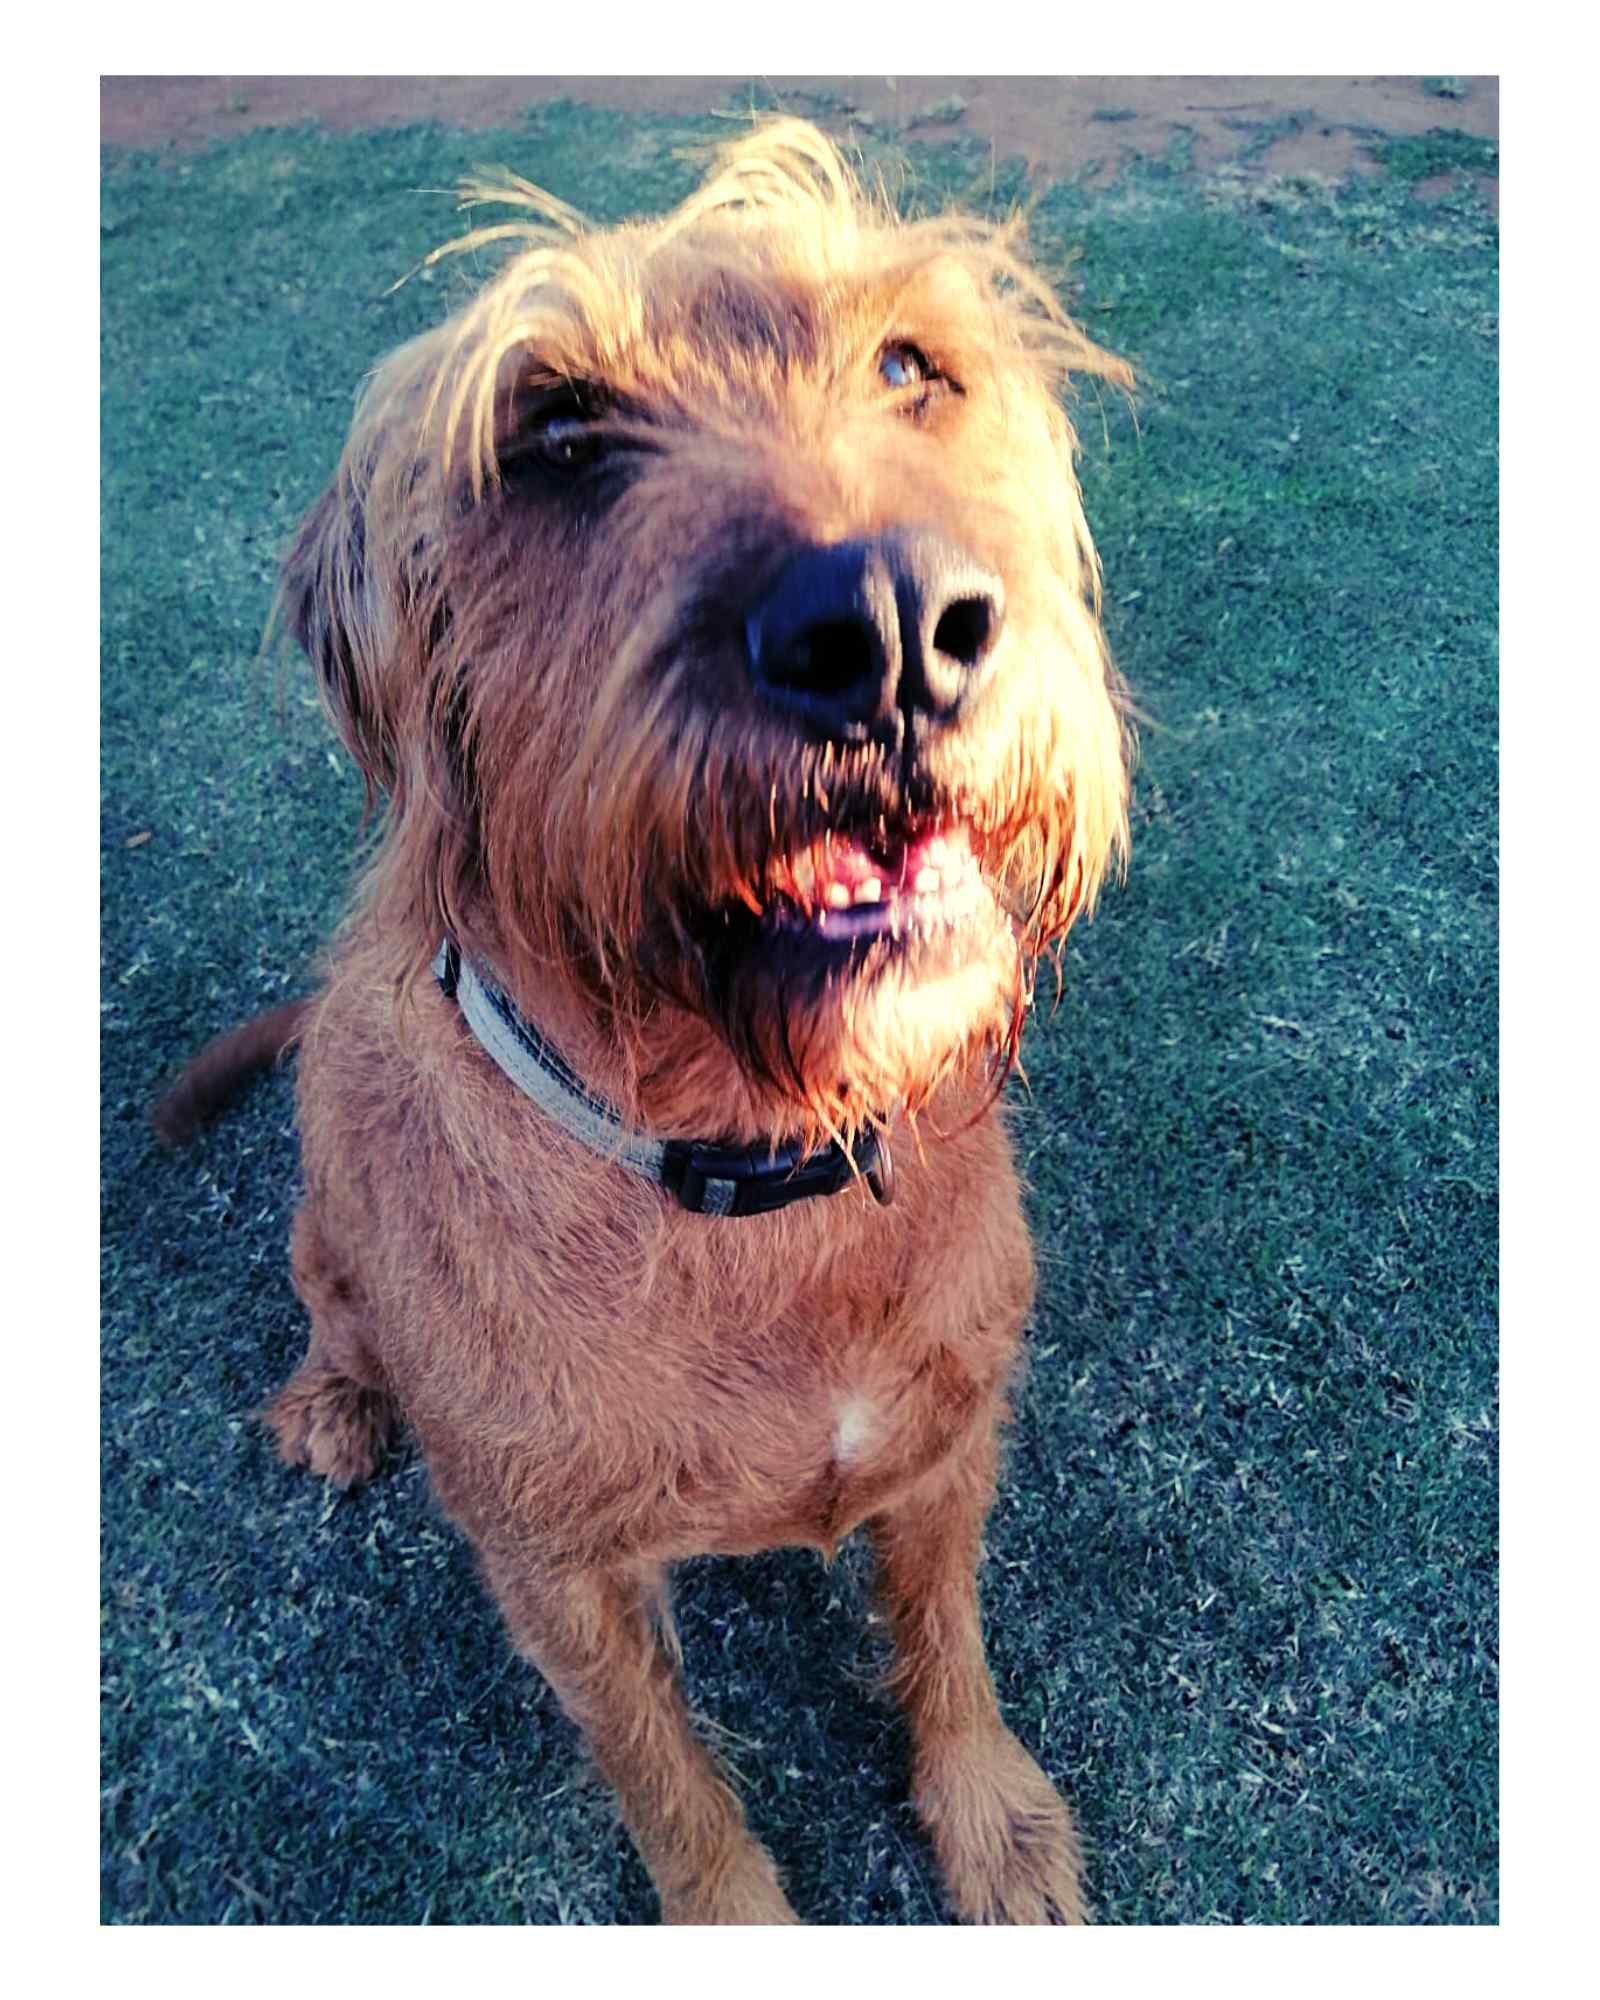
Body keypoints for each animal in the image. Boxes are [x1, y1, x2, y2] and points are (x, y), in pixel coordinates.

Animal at [156, 120, 1133, 1924]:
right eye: (555, 434)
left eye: (912, 366)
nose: (891, 626)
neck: (757, 1171)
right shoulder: (558, 1578)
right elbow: (666, 1783)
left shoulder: (953, 1437)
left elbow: (947, 1641)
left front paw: (992, 1818)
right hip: (323, 1229)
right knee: (328, 1306)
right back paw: (333, 1403)